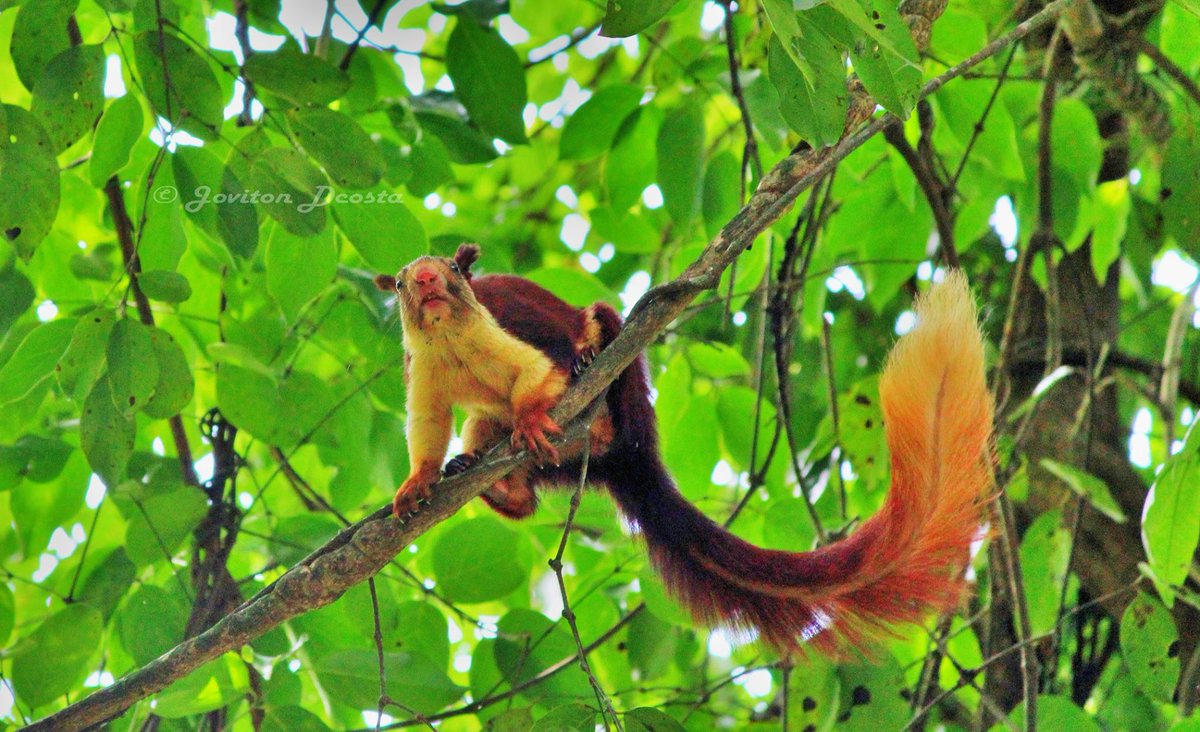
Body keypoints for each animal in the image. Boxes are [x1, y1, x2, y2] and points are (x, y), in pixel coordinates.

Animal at [375, 244, 994, 653]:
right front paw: (419, 481)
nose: (426, 277)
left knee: (597, 329)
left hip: (624, 394)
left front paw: (531, 413)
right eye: (404, 282)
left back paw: (590, 374)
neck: (452, 341)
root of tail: (633, 459)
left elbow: (539, 373)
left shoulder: (507, 333)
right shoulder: (423, 373)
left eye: (449, 269)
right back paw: (494, 481)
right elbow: (427, 428)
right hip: (528, 451)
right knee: (503, 465)